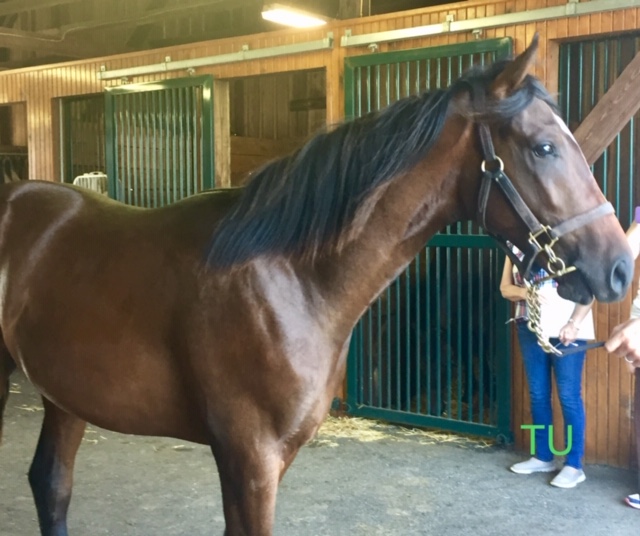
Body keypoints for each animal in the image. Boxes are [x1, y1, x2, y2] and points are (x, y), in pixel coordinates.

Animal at [0, 35, 632, 532]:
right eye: (543, 147)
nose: (620, 267)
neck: (290, 279)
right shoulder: (249, 460)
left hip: (64, 395)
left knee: (51, 486)